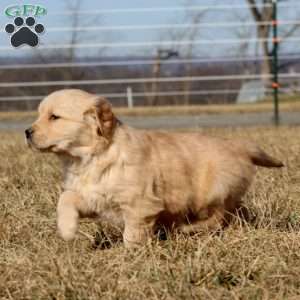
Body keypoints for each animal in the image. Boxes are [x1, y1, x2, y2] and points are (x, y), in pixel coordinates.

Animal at [25, 88, 284, 246]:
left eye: (54, 117)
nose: (27, 132)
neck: (90, 157)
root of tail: (239, 145)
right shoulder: (93, 195)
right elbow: (66, 199)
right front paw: (67, 230)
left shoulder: (140, 203)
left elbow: (132, 233)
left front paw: (130, 254)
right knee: (237, 211)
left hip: (214, 190)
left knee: (220, 216)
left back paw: (189, 229)